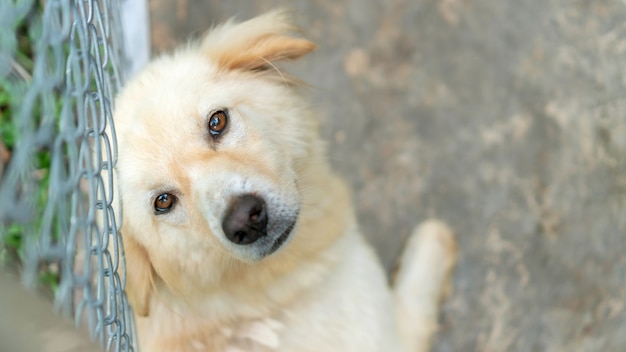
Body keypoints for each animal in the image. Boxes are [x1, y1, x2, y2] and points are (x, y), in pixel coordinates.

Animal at [112, 9, 454, 350]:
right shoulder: (387, 330)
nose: (245, 220)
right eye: (163, 201)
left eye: (217, 121)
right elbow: (417, 292)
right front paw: (434, 237)